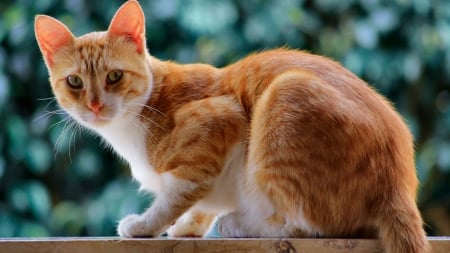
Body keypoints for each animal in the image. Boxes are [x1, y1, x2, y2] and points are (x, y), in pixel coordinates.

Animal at [34, 0, 428, 252]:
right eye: (74, 82)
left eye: (114, 76)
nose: (95, 105)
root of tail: (399, 185)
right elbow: (201, 200)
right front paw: (188, 227)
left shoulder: (222, 120)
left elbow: (178, 194)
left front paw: (146, 226)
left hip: (285, 96)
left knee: (308, 225)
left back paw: (242, 223)